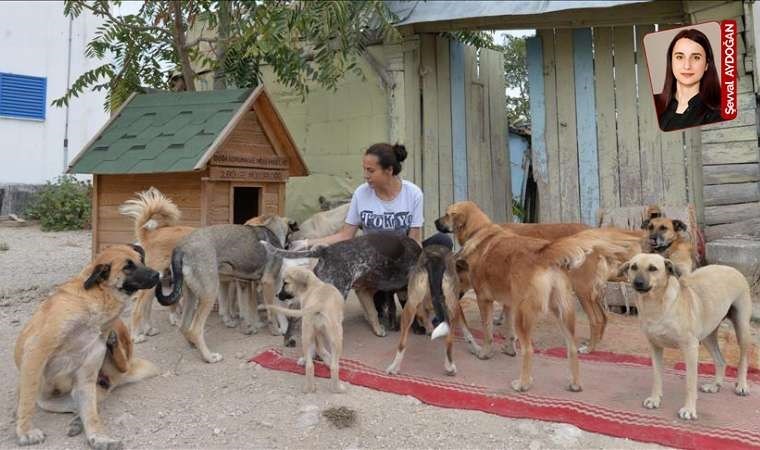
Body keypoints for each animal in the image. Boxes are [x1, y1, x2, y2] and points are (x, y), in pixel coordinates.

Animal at [14, 244, 159, 448]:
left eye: (142, 260)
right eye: (127, 267)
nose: (158, 274)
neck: (97, 298)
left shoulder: (86, 376)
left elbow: (91, 415)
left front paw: (98, 436)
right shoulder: (36, 353)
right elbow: (26, 400)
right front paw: (26, 431)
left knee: (122, 366)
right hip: (54, 399)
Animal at [119, 187, 194, 342]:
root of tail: (150, 235)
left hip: (155, 280)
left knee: (146, 307)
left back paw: (149, 329)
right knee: (138, 308)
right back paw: (136, 335)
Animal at [154, 214, 294, 362]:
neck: (271, 230)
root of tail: (182, 247)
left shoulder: (245, 283)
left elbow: (248, 310)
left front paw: (250, 327)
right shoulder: (268, 283)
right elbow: (272, 312)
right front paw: (276, 331)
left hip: (190, 295)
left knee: (184, 326)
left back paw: (193, 344)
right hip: (210, 294)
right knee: (195, 329)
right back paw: (209, 357)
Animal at [434, 202, 640, 392]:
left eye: (447, 214)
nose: (435, 222)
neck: (480, 231)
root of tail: (544, 253)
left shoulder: (484, 300)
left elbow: (488, 332)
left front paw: (485, 353)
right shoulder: (509, 303)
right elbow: (508, 330)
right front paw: (509, 348)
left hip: (561, 299)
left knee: (532, 348)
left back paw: (523, 384)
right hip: (564, 310)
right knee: (575, 344)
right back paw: (576, 380)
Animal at [616, 255, 756, 420]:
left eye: (653, 268)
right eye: (633, 267)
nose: (637, 283)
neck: (655, 305)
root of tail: (731, 268)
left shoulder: (690, 349)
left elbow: (690, 383)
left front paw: (689, 409)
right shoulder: (655, 347)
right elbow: (657, 377)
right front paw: (655, 399)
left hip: (742, 328)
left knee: (744, 358)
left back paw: (741, 385)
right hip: (707, 335)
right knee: (721, 360)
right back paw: (714, 385)